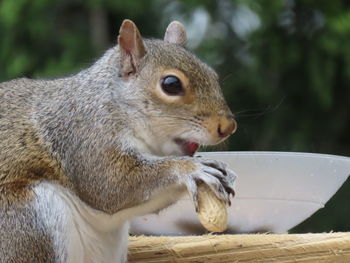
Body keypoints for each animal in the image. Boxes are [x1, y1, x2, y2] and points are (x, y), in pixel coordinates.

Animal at [0, 19, 238, 262]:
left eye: (213, 75)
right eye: (171, 84)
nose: (228, 127)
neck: (117, 104)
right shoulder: (86, 137)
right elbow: (112, 185)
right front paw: (191, 168)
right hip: (29, 220)